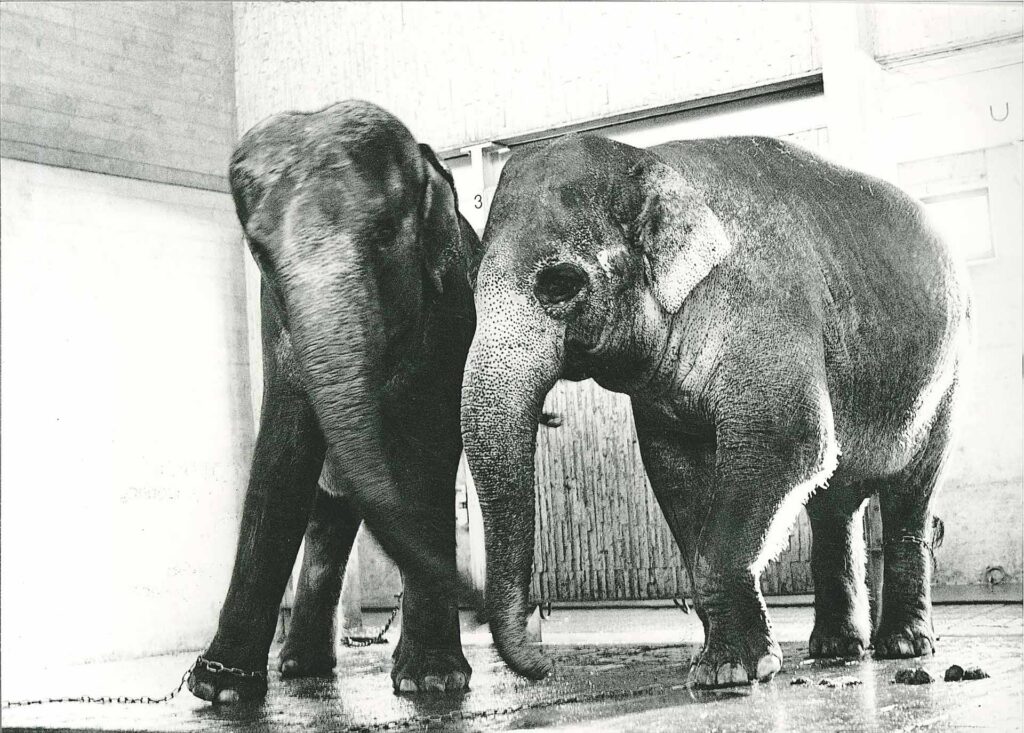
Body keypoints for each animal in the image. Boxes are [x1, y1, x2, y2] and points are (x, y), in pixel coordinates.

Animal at [188, 100, 483, 703]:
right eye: (258, 251)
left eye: (386, 233)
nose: (483, 608)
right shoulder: (275, 315)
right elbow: (282, 451)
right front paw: (218, 688)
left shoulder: (450, 307)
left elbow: (430, 454)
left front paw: (432, 680)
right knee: (327, 513)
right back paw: (301, 668)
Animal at [461, 133, 969, 688]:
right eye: (470, 283)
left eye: (559, 283)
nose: (546, 667)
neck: (654, 161)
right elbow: (675, 471)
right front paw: (723, 666)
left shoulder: (768, 316)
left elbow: (792, 443)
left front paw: (729, 672)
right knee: (834, 504)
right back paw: (837, 649)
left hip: (947, 380)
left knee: (911, 493)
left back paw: (904, 646)